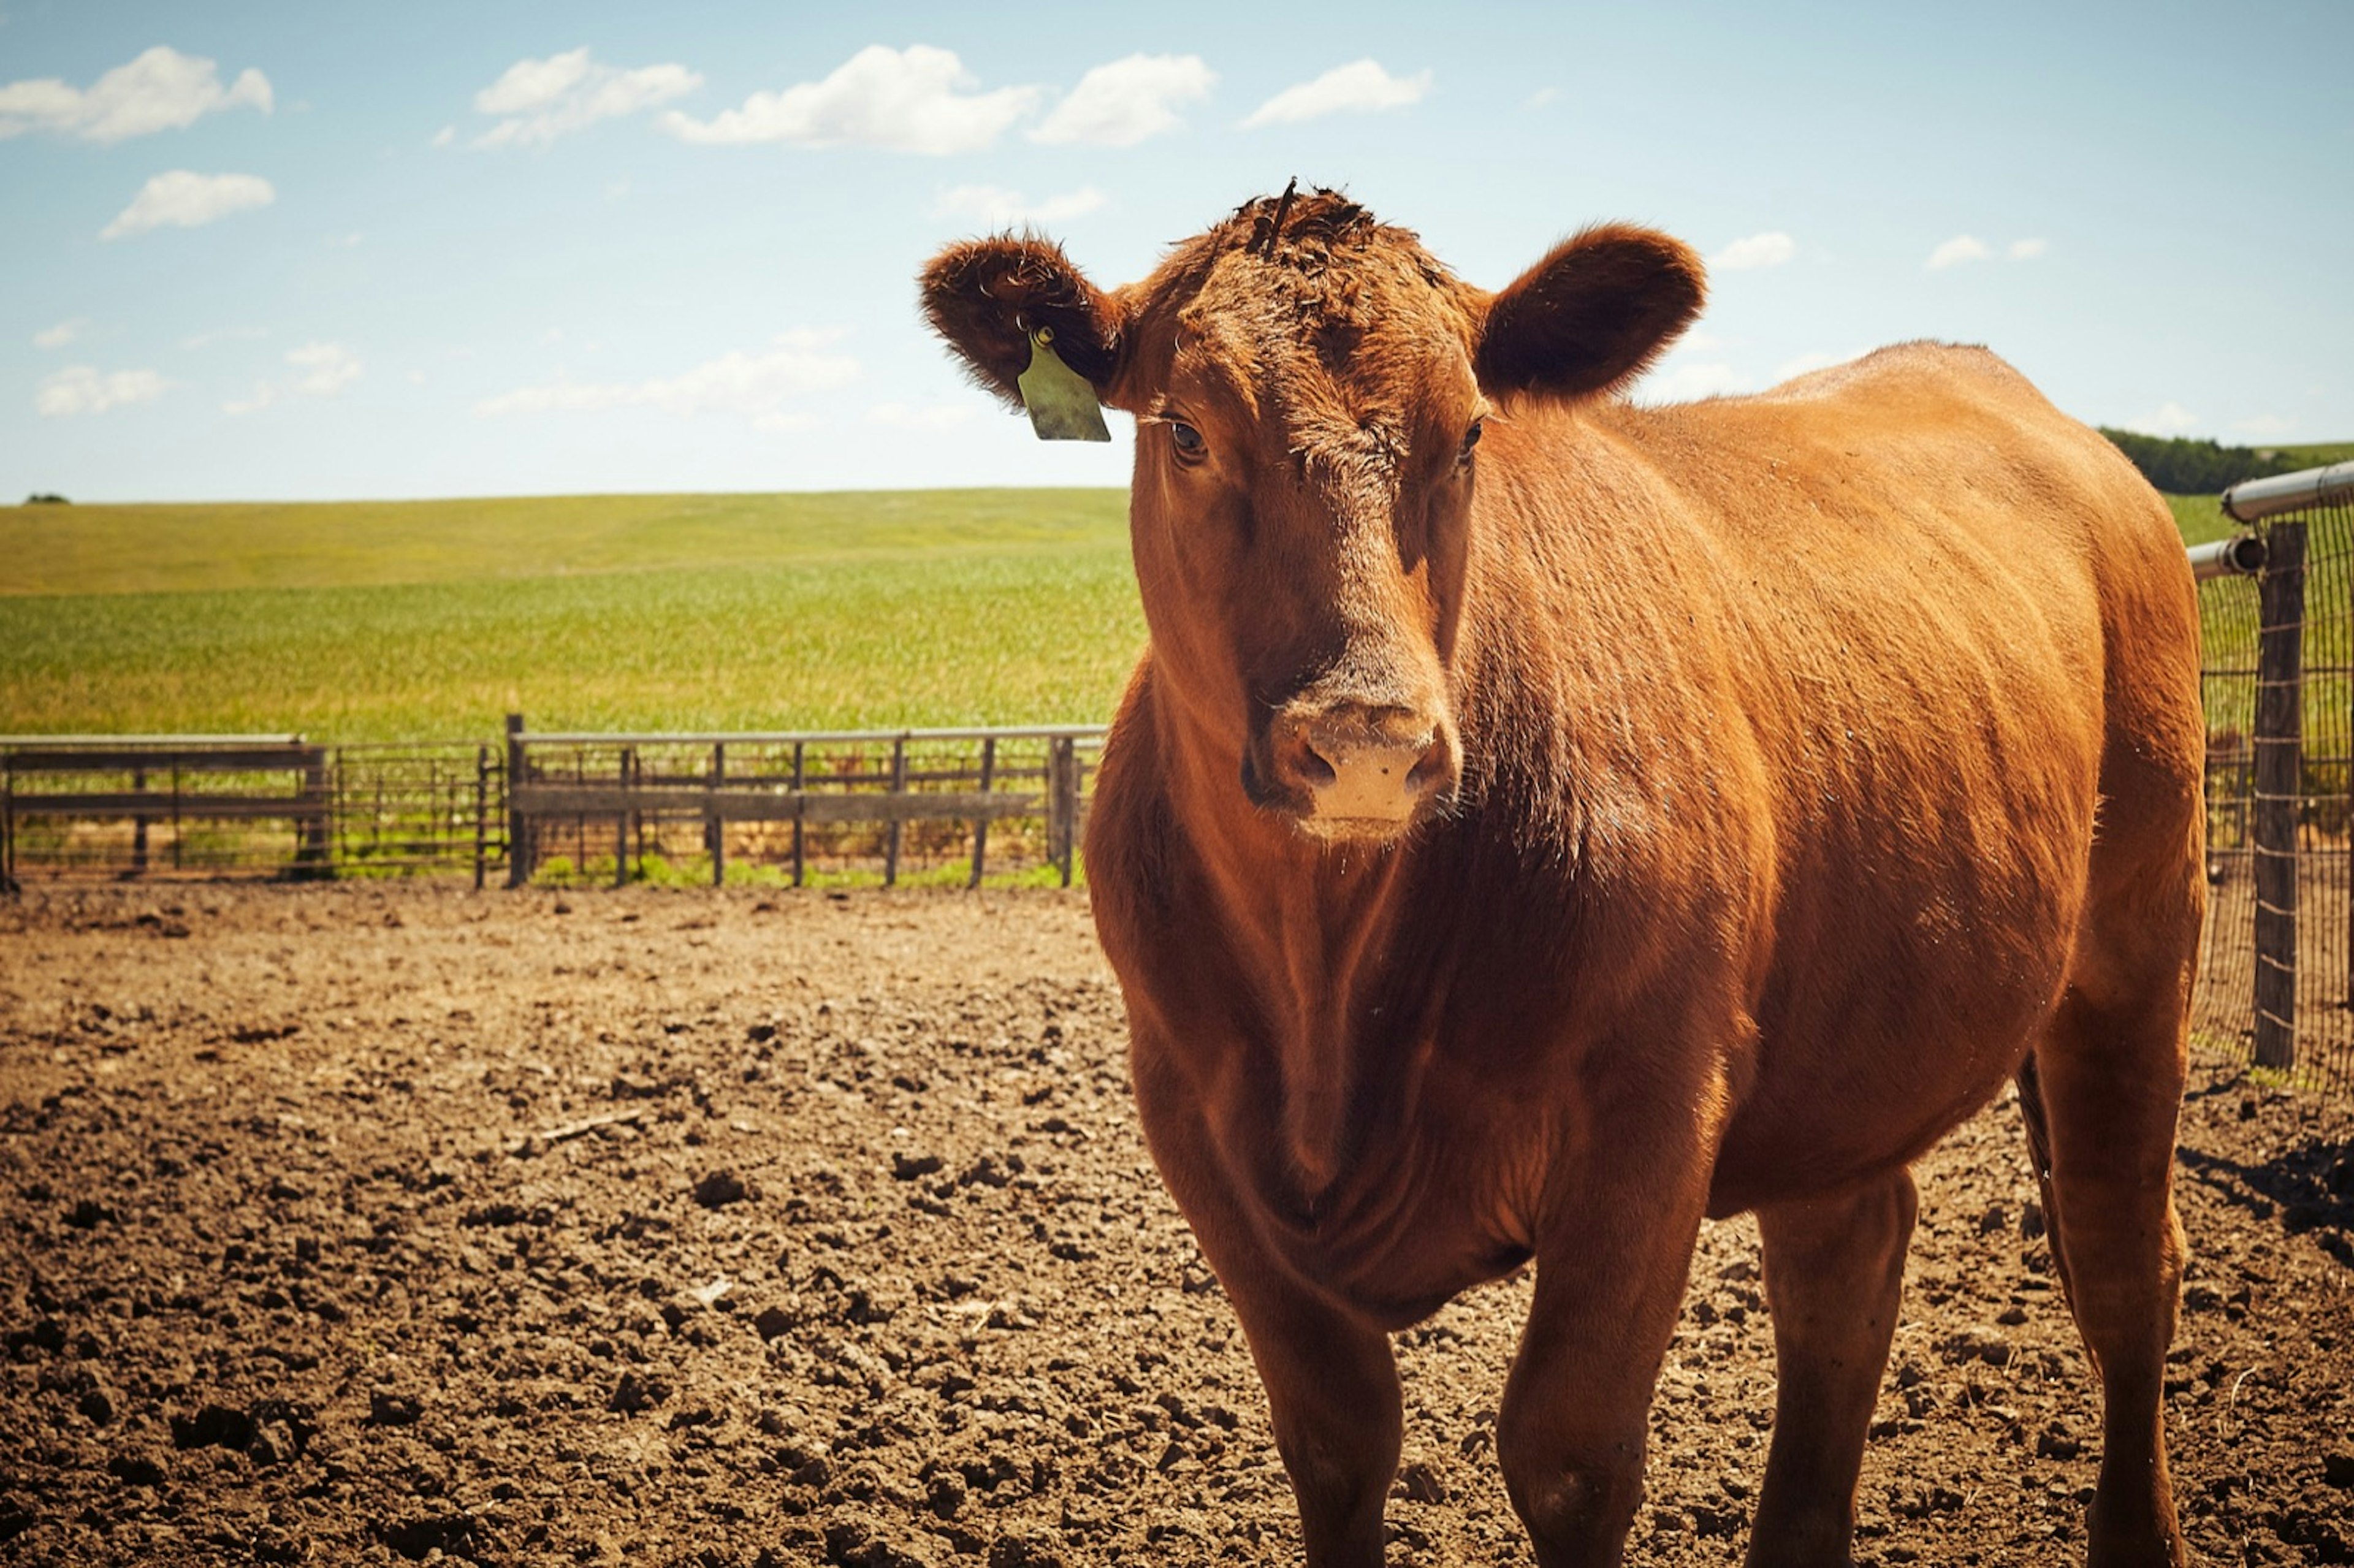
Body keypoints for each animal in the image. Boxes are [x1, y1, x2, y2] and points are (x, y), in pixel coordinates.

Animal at [918, 192, 2203, 1563]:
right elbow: (1335, 1436)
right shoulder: (1193, 1117)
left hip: (2139, 935)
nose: (1368, 734)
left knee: (2122, 1261)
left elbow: (1570, 1456)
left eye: (1472, 430)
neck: (1328, 981)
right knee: (1843, 1263)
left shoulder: (1650, 1111)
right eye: (1189, 431)